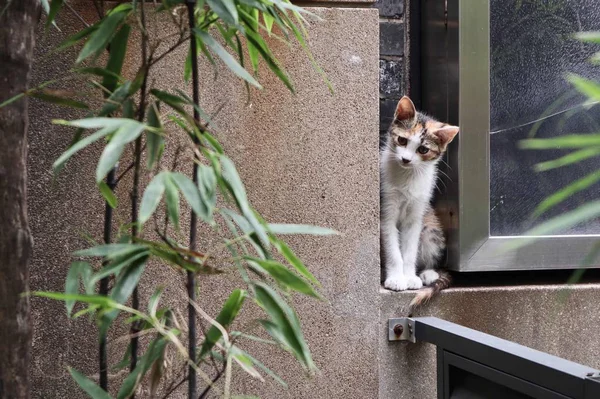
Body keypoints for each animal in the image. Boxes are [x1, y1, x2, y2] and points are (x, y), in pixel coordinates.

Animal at [380, 97, 460, 312]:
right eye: (402, 140)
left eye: (423, 149)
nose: (406, 159)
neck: (407, 177)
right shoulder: (386, 211)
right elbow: (393, 250)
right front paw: (396, 279)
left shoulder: (416, 215)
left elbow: (409, 250)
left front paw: (409, 277)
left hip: (430, 226)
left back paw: (428, 273)